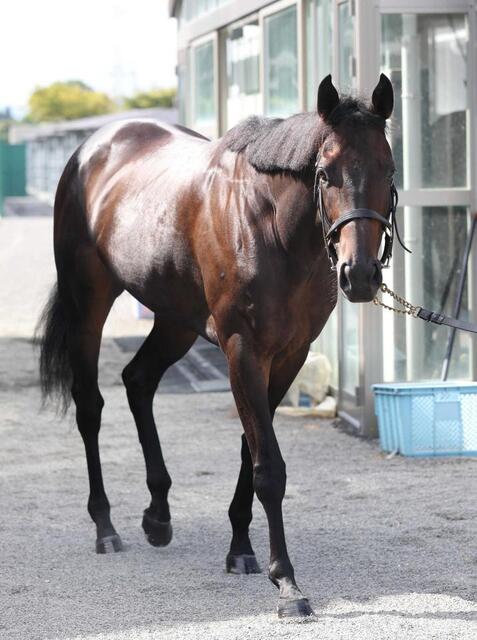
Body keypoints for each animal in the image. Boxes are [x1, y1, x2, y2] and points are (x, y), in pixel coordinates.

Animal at [38, 74, 397, 618]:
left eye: (389, 168)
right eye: (325, 173)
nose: (359, 276)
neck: (269, 226)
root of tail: (90, 150)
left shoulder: (287, 356)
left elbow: (252, 449)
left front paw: (241, 550)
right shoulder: (242, 350)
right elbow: (268, 465)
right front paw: (287, 583)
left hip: (176, 320)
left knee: (138, 381)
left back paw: (158, 516)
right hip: (88, 305)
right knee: (90, 407)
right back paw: (105, 527)